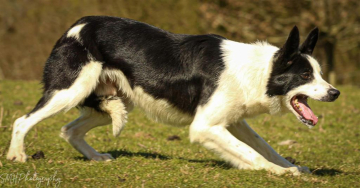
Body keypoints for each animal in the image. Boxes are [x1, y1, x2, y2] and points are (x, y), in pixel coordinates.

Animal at [7, 15, 340, 175]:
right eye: (305, 76)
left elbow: (262, 146)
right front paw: (277, 173)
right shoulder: (204, 126)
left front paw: (289, 167)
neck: (260, 71)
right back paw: (16, 156)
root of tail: (75, 26)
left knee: (69, 130)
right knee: (22, 121)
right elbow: (251, 154)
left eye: (320, 74)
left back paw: (96, 157)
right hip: (70, 90)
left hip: (114, 101)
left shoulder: (233, 121)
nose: (335, 93)